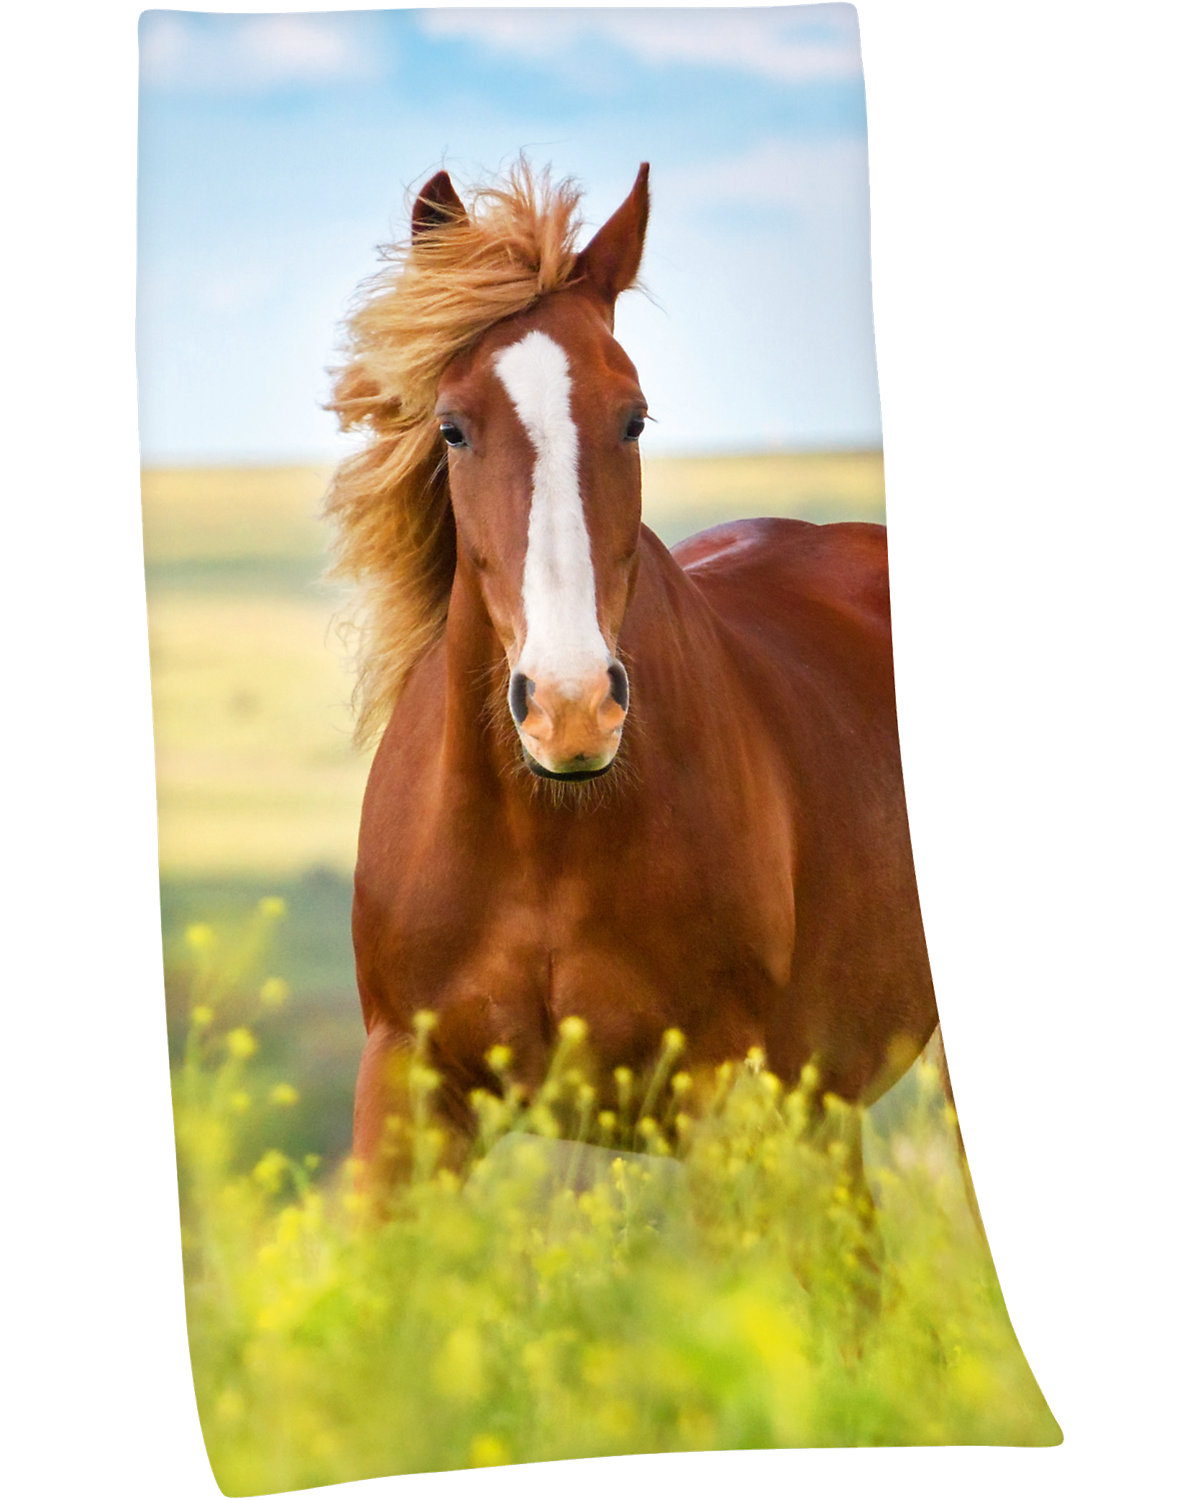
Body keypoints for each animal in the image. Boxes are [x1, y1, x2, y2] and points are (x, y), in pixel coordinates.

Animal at [326, 161, 940, 1189]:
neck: (545, 840)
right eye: (451, 429)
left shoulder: (721, 1096)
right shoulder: (404, 1088)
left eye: (635, 418)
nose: (571, 710)